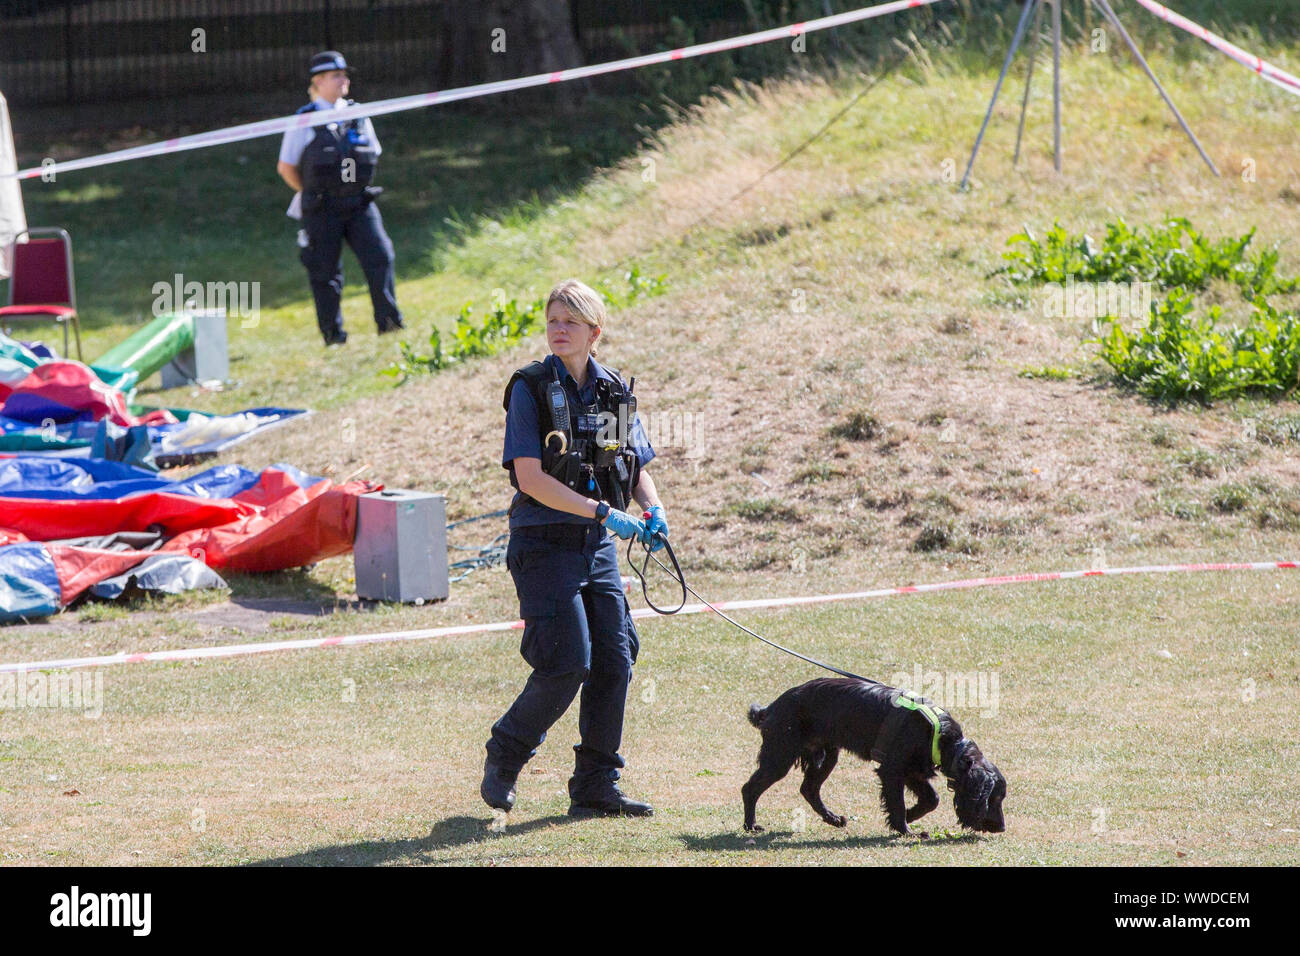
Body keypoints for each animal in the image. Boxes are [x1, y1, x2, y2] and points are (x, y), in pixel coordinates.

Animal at [743, 671, 1003, 837]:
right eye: (995, 798)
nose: (1002, 827)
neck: (942, 736)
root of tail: (770, 708)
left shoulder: (912, 771)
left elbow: (932, 799)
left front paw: (909, 816)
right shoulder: (892, 769)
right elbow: (897, 802)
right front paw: (906, 830)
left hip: (827, 755)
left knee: (809, 788)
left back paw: (832, 818)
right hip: (780, 756)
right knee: (750, 788)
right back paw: (751, 825)